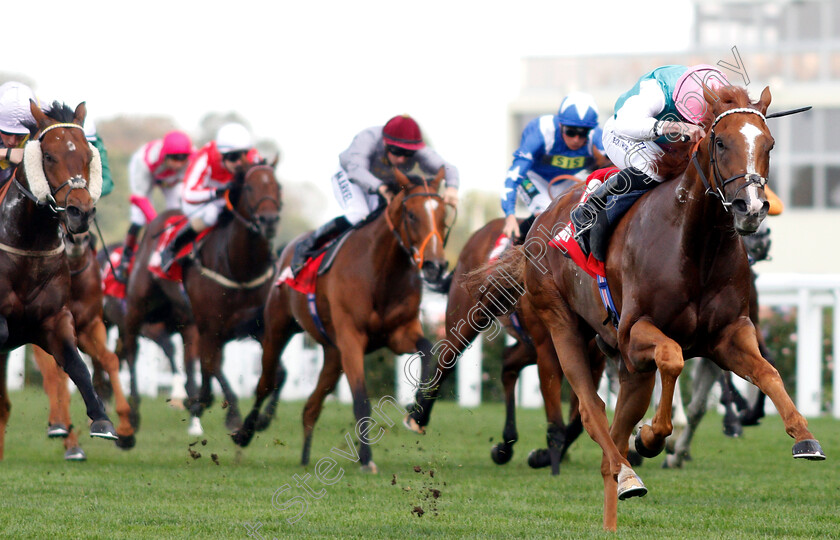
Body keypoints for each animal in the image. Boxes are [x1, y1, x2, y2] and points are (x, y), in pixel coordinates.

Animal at [0, 101, 115, 460]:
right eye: (48, 156)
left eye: (89, 155)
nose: (80, 212)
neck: (28, 246)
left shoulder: (55, 318)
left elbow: (77, 366)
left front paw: (102, 420)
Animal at [121, 158, 280, 432]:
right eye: (249, 187)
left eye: (277, 186)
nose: (269, 220)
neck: (240, 268)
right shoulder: (211, 324)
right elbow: (211, 365)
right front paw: (231, 415)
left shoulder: (255, 325)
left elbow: (276, 373)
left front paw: (262, 418)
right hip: (137, 307)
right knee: (131, 350)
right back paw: (133, 413)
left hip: (184, 320)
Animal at [233, 168, 450, 472]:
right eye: (411, 215)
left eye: (443, 215)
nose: (435, 266)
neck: (380, 271)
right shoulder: (351, 338)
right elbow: (361, 400)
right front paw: (367, 459)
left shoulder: (399, 333)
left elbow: (429, 351)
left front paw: (417, 413)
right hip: (278, 329)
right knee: (266, 381)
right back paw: (244, 433)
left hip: (333, 355)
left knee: (310, 407)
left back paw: (304, 458)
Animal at [404, 217, 600, 474]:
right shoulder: (548, 347)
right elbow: (561, 418)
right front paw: (547, 457)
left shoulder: (596, 357)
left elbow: (580, 419)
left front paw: (542, 455)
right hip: (468, 317)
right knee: (447, 358)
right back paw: (419, 415)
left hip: (527, 344)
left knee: (508, 362)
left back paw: (505, 445)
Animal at [472, 86, 828, 528]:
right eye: (720, 142)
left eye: (769, 143)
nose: (751, 208)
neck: (695, 243)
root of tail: (542, 219)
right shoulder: (633, 333)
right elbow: (672, 357)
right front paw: (652, 436)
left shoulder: (727, 334)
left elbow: (768, 372)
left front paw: (804, 437)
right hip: (562, 327)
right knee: (591, 409)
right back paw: (624, 471)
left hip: (624, 365)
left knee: (613, 428)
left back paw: (617, 487)